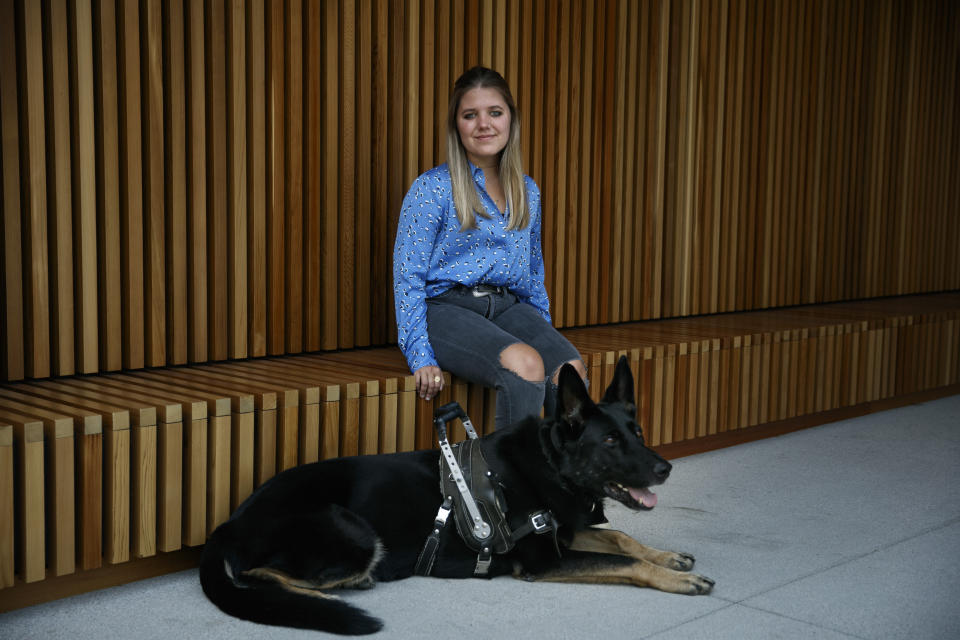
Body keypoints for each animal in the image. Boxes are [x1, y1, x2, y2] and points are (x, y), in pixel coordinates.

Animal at [201, 358, 712, 632]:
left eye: (638, 432)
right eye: (609, 441)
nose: (665, 468)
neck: (551, 464)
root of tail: (228, 522)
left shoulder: (562, 534)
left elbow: (621, 539)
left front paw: (669, 557)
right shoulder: (546, 561)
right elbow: (623, 561)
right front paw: (677, 578)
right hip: (354, 534)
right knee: (255, 575)